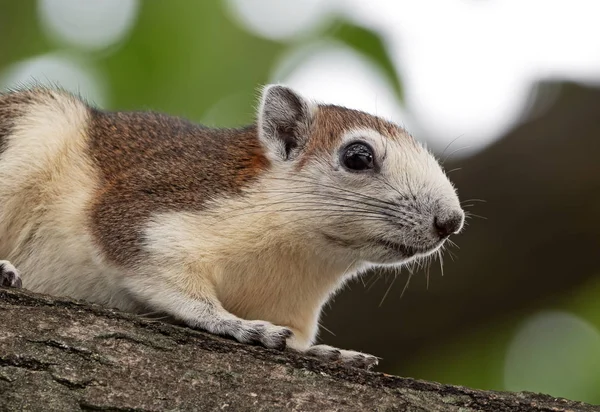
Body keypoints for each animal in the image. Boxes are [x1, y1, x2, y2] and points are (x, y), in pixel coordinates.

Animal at [0, 85, 464, 368]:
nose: (451, 221)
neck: (302, 258)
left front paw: (326, 353)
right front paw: (236, 324)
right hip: (33, 128)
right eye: (358, 156)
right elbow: (163, 276)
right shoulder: (150, 211)